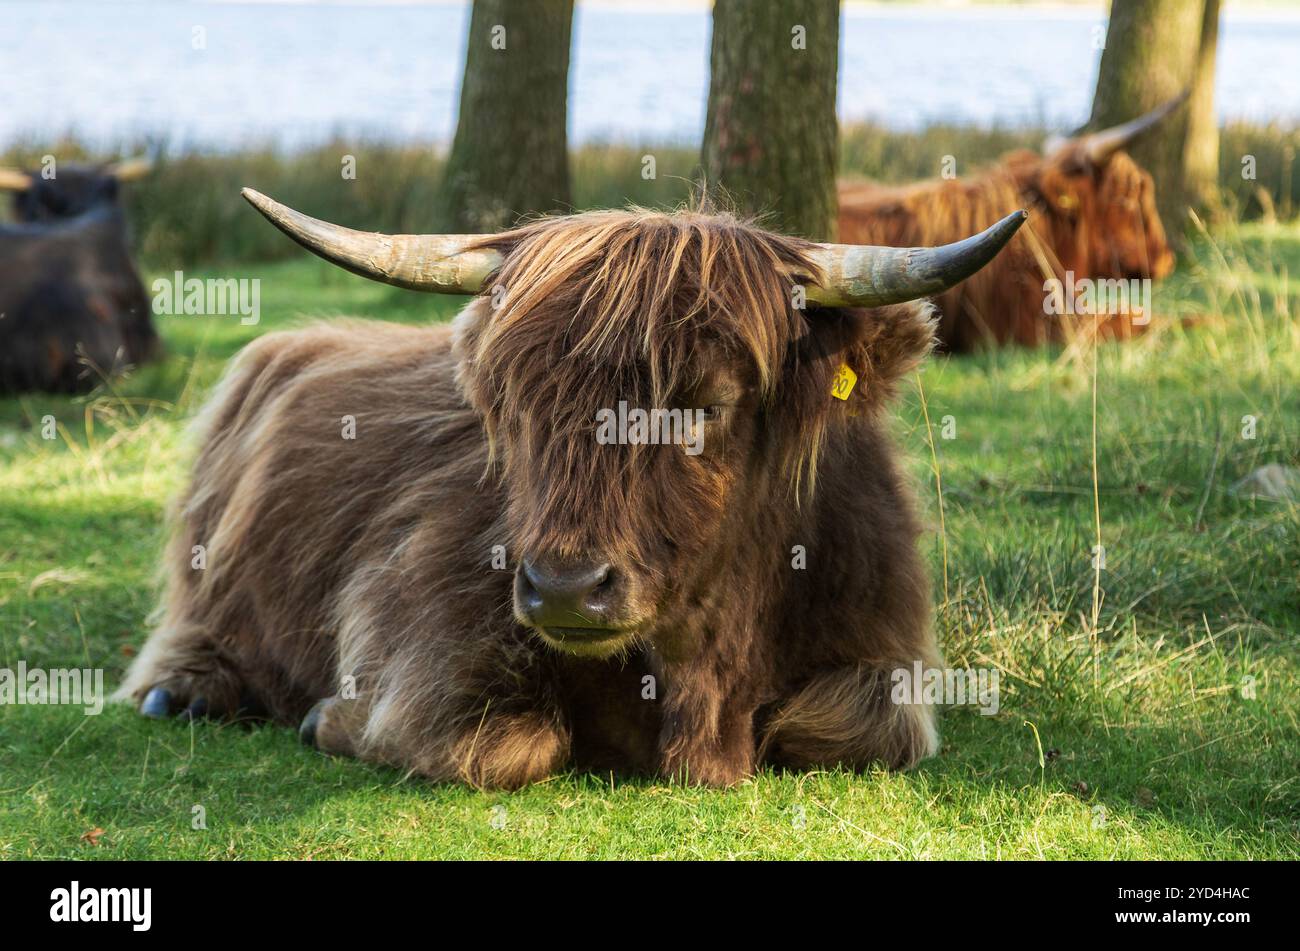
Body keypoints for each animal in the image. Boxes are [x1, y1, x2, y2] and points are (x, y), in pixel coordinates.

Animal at [116, 190, 1025, 789]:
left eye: (707, 403)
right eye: (517, 401)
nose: (563, 587)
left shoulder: (887, 653)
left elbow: (848, 730)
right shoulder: (418, 623)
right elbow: (505, 745)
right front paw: (327, 719)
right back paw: (187, 691)